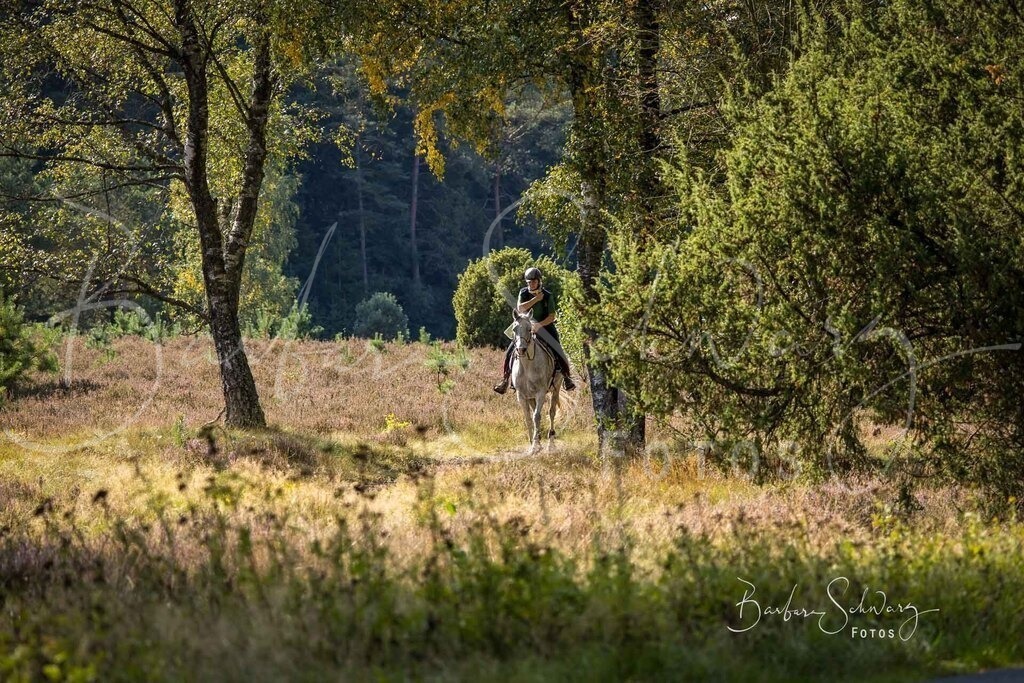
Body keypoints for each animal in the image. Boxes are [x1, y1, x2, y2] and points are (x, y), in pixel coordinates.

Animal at [510, 311, 562, 452]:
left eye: (529, 329)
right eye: (514, 329)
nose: (521, 349)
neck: (527, 366)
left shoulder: (541, 393)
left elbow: (537, 417)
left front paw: (535, 446)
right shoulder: (522, 395)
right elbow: (528, 418)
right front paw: (533, 444)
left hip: (556, 388)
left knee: (551, 412)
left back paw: (551, 444)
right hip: (530, 396)